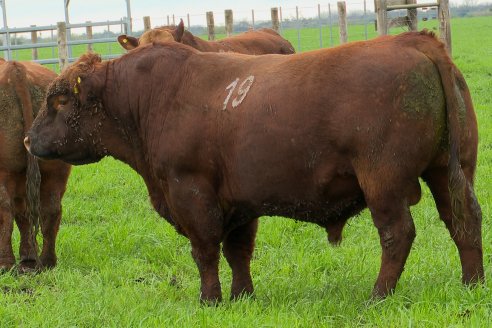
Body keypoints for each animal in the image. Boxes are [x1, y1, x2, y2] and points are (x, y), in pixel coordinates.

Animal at [0, 59, 71, 272]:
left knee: (5, 211)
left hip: (3, 171)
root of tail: (15, 68)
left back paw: (5, 263)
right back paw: (44, 261)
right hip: (55, 170)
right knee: (51, 209)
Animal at [25, 30, 482, 302]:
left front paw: (209, 299)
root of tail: (413, 40)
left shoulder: (191, 191)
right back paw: (472, 283)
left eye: (59, 100)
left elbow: (205, 250)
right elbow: (237, 251)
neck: (147, 97)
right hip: (449, 171)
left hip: (383, 181)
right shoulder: (239, 202)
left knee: (397, 234)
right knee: (464, 220)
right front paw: (242, 296)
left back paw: (378, 295)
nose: (29, 140)